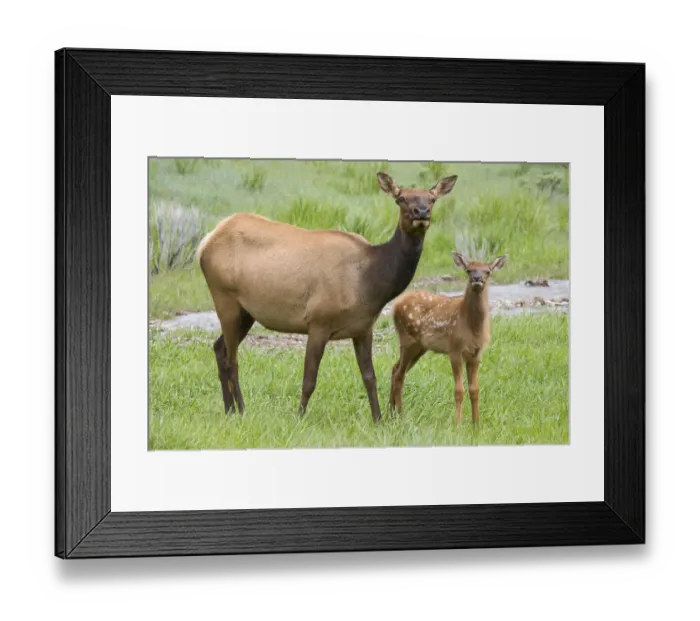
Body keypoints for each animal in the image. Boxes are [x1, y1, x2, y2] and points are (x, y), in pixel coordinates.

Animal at [196, 171, 458, 423]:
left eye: (432, 199)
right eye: (401, 198)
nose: (421, 212)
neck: (371, 283)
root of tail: (205, 242)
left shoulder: (364, 327)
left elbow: (369, 377)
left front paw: (378, 419)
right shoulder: (318, 321)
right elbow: (309, 379)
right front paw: (299, 417)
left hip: (247, 311)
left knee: (219, 348)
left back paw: (229, 410)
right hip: (224, 296)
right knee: (232, 359)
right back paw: (241, 410)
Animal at [389, 251, 508, 424]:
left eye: (487, 271)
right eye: (468, 270)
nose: (477, 279)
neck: (472, 327)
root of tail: (395, 305)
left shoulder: (476, 353)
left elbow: (475, 389)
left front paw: (476, 423)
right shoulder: (454, 348)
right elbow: (459, 390)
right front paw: (458, 424)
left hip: (420, 347)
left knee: (395, 368)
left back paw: (389, 412)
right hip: (407, 339)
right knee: (399, 374)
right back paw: (400, 415)